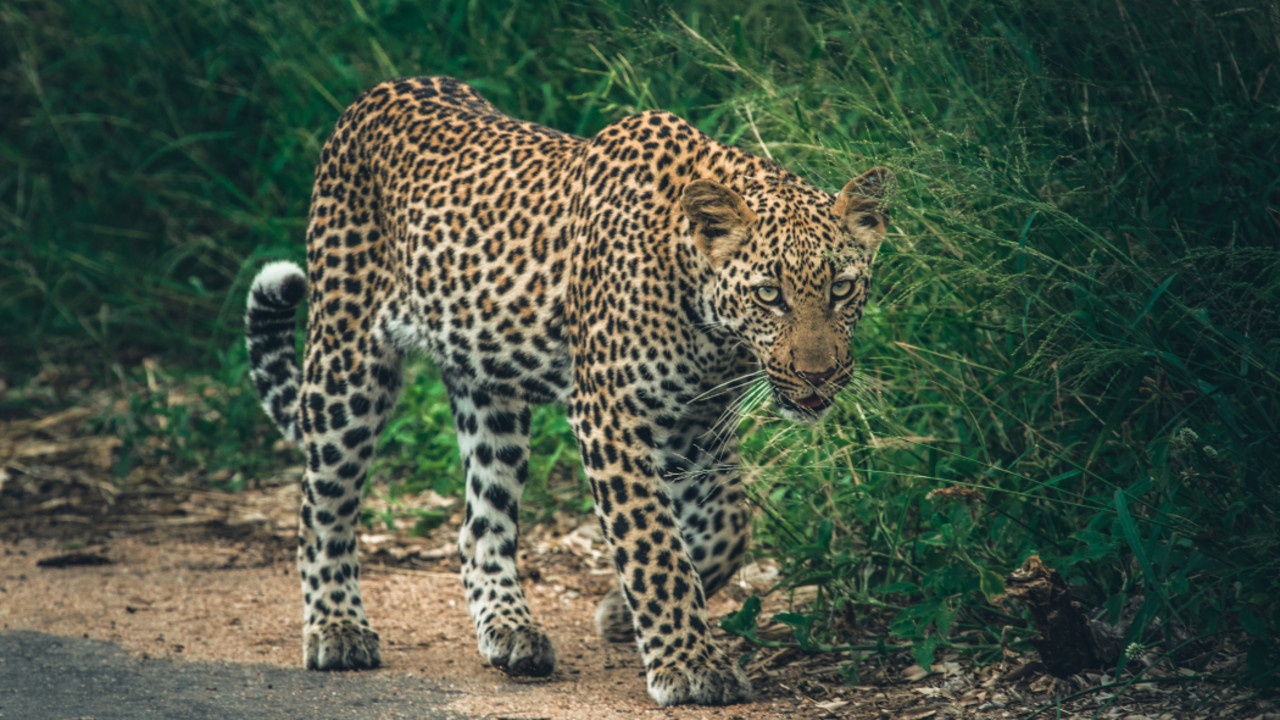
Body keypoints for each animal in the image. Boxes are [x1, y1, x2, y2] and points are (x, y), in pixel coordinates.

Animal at [244, 76, 892, 707]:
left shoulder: (696, 425)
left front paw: (620, 613)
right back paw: (337, 629)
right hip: (346, 363)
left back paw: (511, 630)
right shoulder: (612, 416)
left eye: (841, 288)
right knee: (322, 503)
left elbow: (728, 523)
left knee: (479, 525)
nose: (817, 374)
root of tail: (373, 95)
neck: (713, 330)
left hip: (490, 394)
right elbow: (654, 545)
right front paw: (688, 666)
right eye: (768, 294)